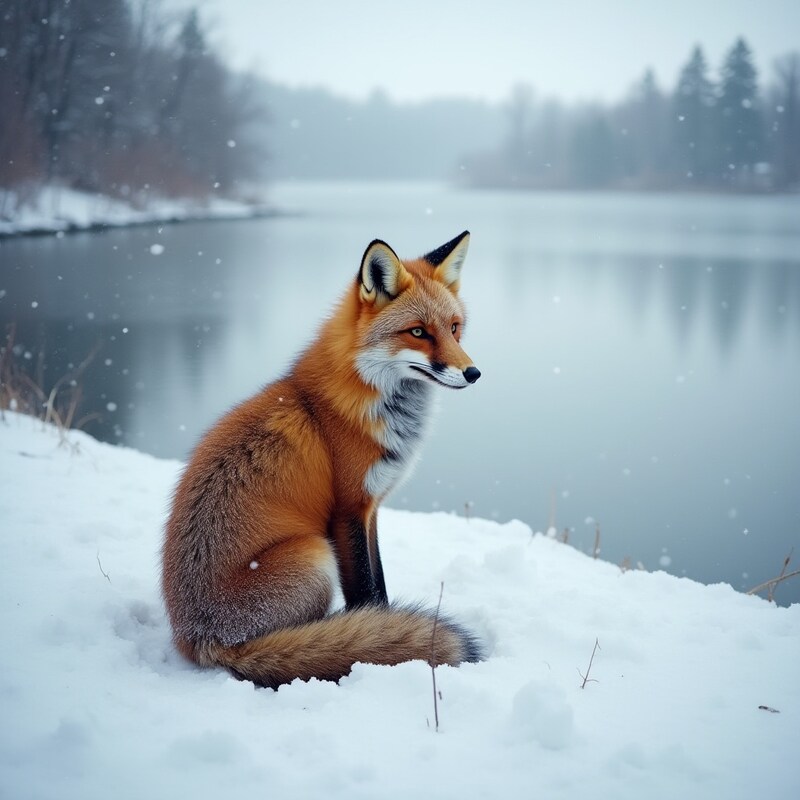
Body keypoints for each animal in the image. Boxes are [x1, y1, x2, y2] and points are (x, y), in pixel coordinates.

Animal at [162, 231, 483, 689]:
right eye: (418, 332)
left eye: (455, 329)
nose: (473, 373)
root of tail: (201, 639)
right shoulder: (347, 509)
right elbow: (368, 591)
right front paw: (377, 638)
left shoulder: (371, 508)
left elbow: (379, 585)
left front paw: (380, 627)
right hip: (315, 554)